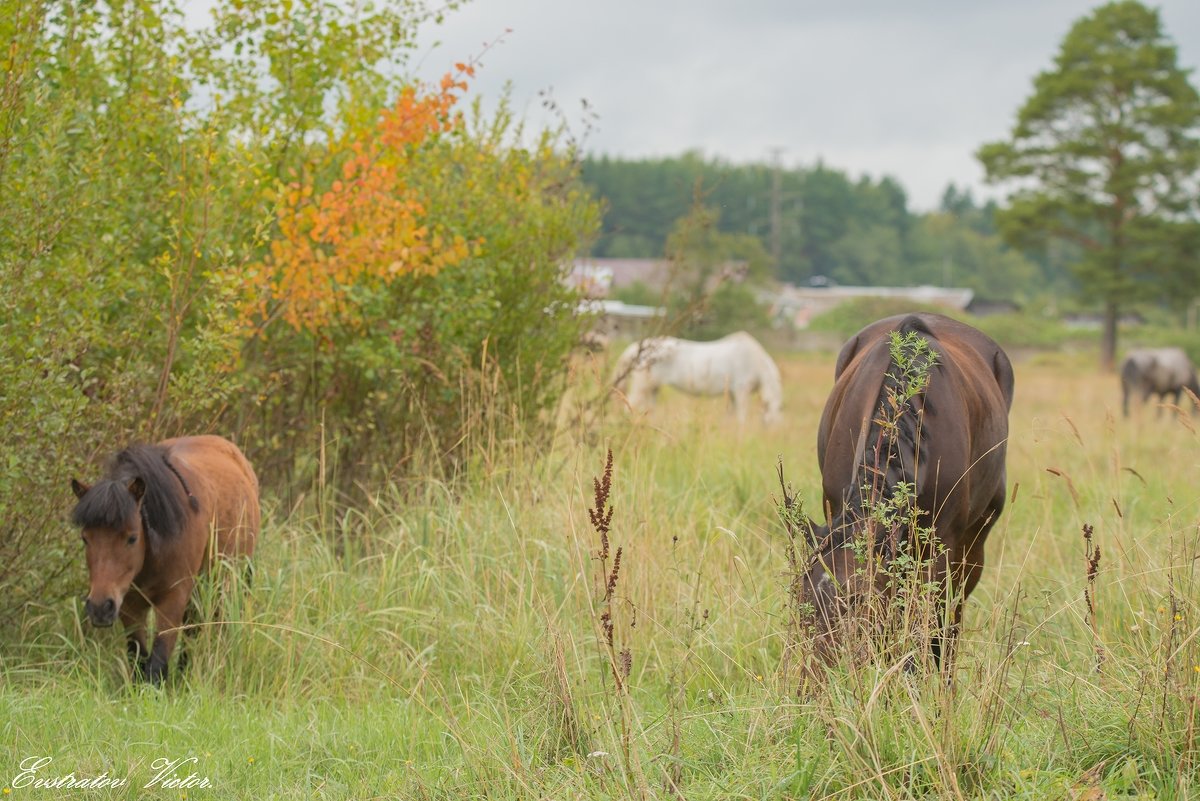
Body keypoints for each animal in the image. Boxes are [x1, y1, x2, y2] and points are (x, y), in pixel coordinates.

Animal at [71, 434, 259, 685]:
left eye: (132, 538)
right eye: (85, 538)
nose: (100, 607)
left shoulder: (173, 599)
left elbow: (157, 664)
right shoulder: (129, 604)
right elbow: (138, 658)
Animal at [614, 330, 782, 422]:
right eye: (771, 420)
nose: (770, 435)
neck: (756, 361)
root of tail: (635, 349)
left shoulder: (732, 394)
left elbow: (731, 417)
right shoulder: (741, 391)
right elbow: (742, 418)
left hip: (653, 388)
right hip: (642, 387)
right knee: (629, 406)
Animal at [801, 316, 1017, 666]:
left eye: (856, 599)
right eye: (801, 595)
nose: (821, 673)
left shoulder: (940, 548)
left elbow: (926, 623)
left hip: (972, 546)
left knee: (950, 619)